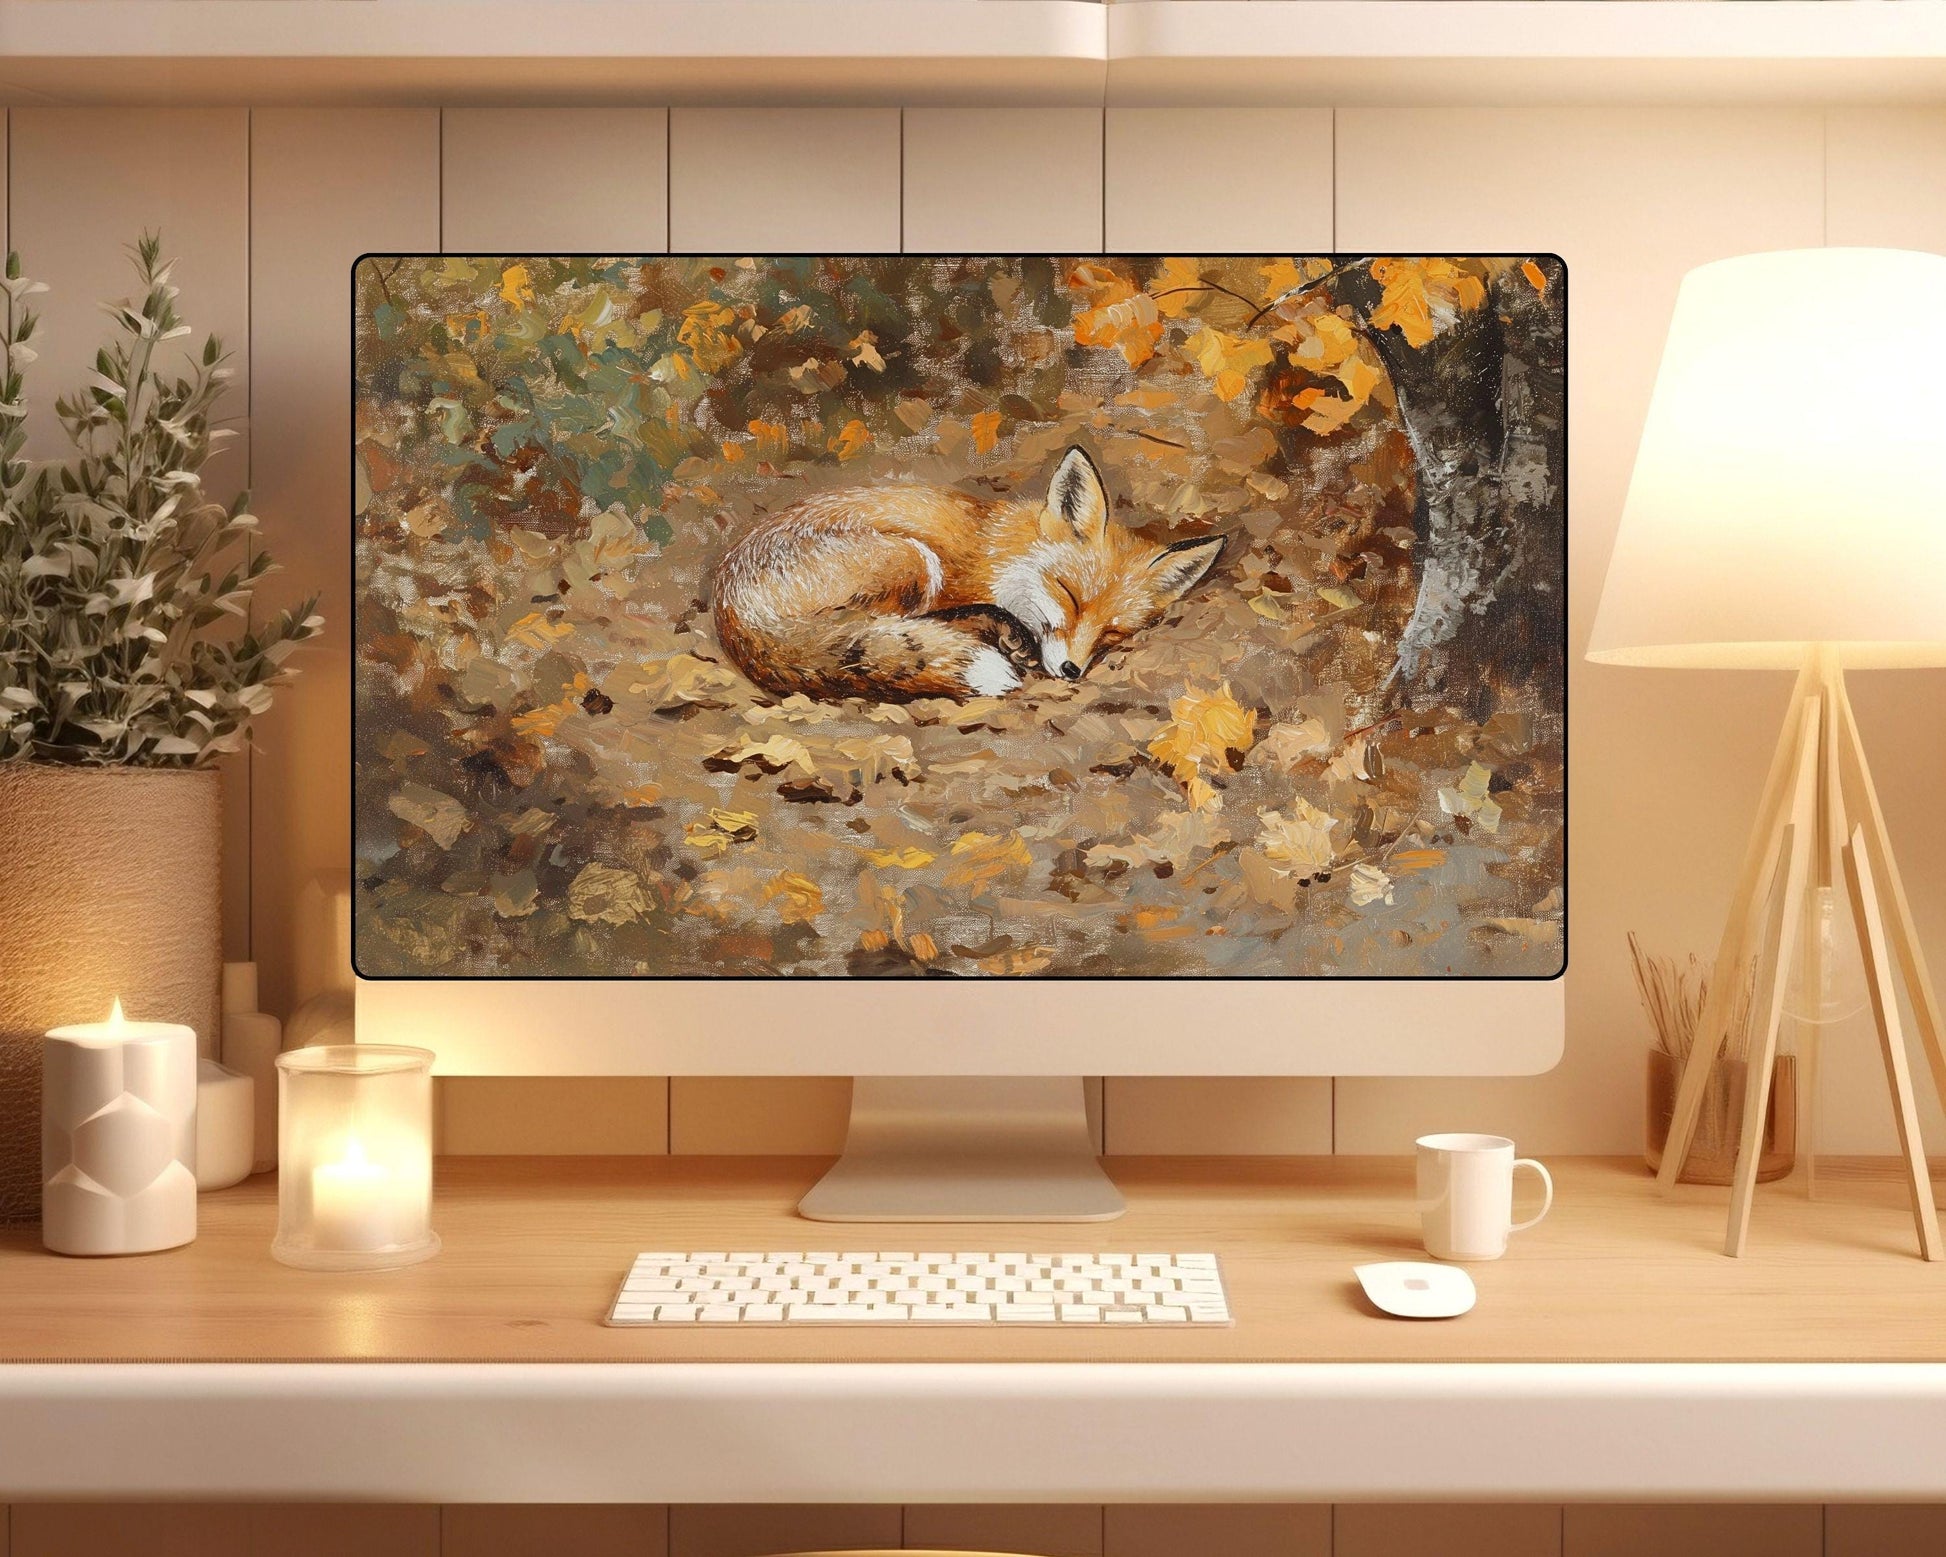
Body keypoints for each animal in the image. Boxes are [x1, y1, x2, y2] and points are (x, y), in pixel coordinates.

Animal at [711, 446, 1225, 703]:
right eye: (1069, 595)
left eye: (1114, 632)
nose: (1072, 671)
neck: (995, 553)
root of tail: (729, 606)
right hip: (912, 559)